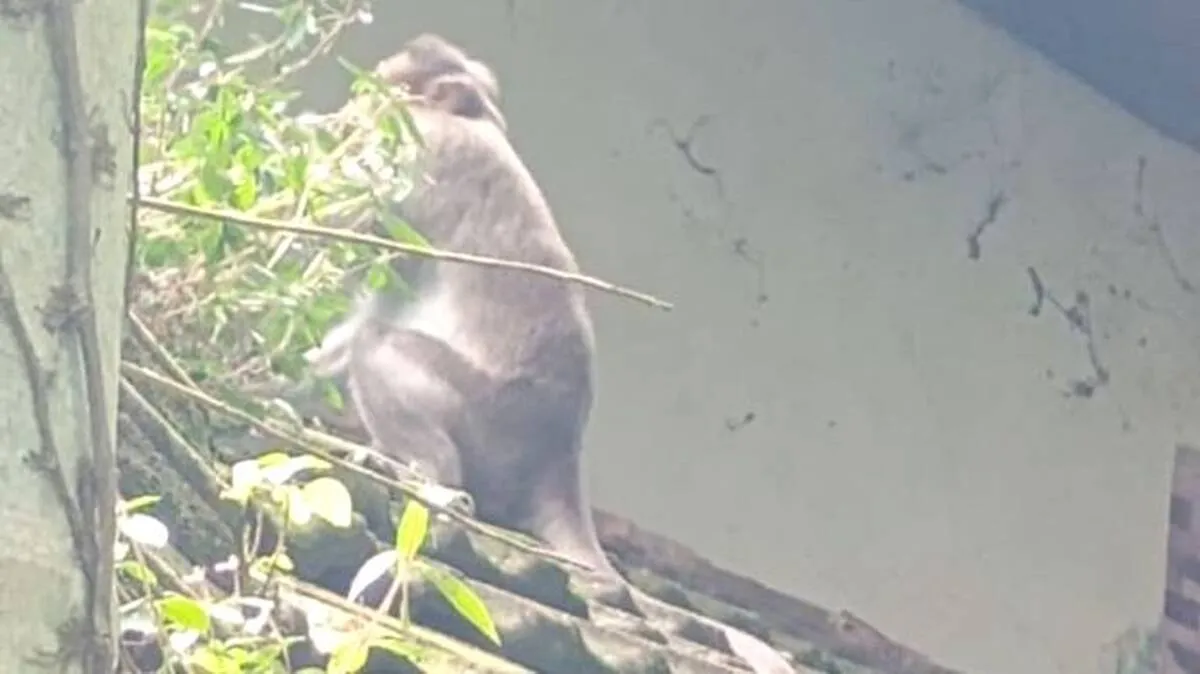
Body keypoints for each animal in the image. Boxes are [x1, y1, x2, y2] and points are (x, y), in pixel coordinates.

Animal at [307, 34, 796, 674]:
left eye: (382, 94)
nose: (349, 115)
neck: (471, 119)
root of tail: (559, 457)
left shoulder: (426, 153)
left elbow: (350, 234)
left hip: (488, 417)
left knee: (382, 351)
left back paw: (430, 475)